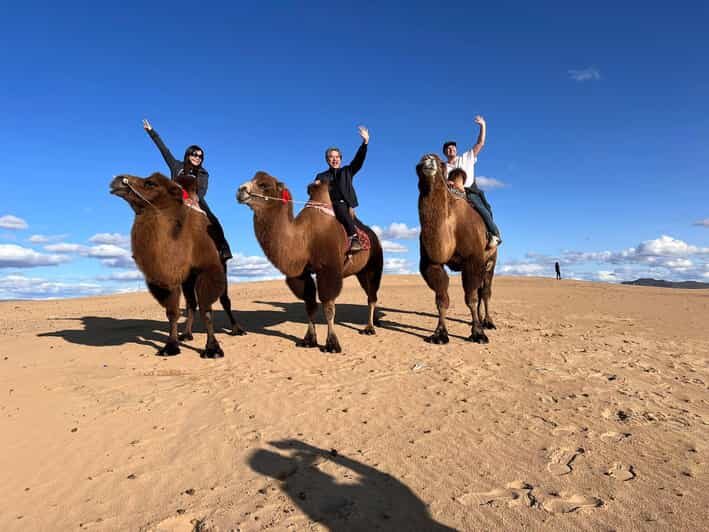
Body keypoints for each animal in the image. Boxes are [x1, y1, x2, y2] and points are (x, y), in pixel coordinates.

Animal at [110, 172, 244, 358]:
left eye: (150, 183)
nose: (117, 179)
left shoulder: (207, 270)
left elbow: (206, 309)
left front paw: (212, 349)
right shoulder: (168, 277)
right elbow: (172, 312)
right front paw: (171, 346)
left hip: (222, 267)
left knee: (224, 299)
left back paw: (237, 329)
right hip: (188, 279)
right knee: (191, 304)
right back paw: (186, 334)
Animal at [237, 172, 383, 353]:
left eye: (264, 185)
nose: (241, 190)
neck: (305, 239)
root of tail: (373, 235)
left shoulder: (328, 269)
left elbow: (328, 306)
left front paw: (332, 344)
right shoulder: (301, 274)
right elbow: (310, 305)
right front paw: (309, 339)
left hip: (374, 265)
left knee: (372, 295)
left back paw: (369, 328)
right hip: (361, 271)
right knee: (369, 293)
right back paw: (374, 322)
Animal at [416, 154, 497, 344]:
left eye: (441, 163)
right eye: (419, 163)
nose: (429, 159)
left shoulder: (473, 260)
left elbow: (471, 298)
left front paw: (478, 333)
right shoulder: (431, 263)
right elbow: (441, 298)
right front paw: (439, 334)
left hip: (491, 261)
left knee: (485, 291)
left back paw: (488, 322)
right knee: (480, 290)